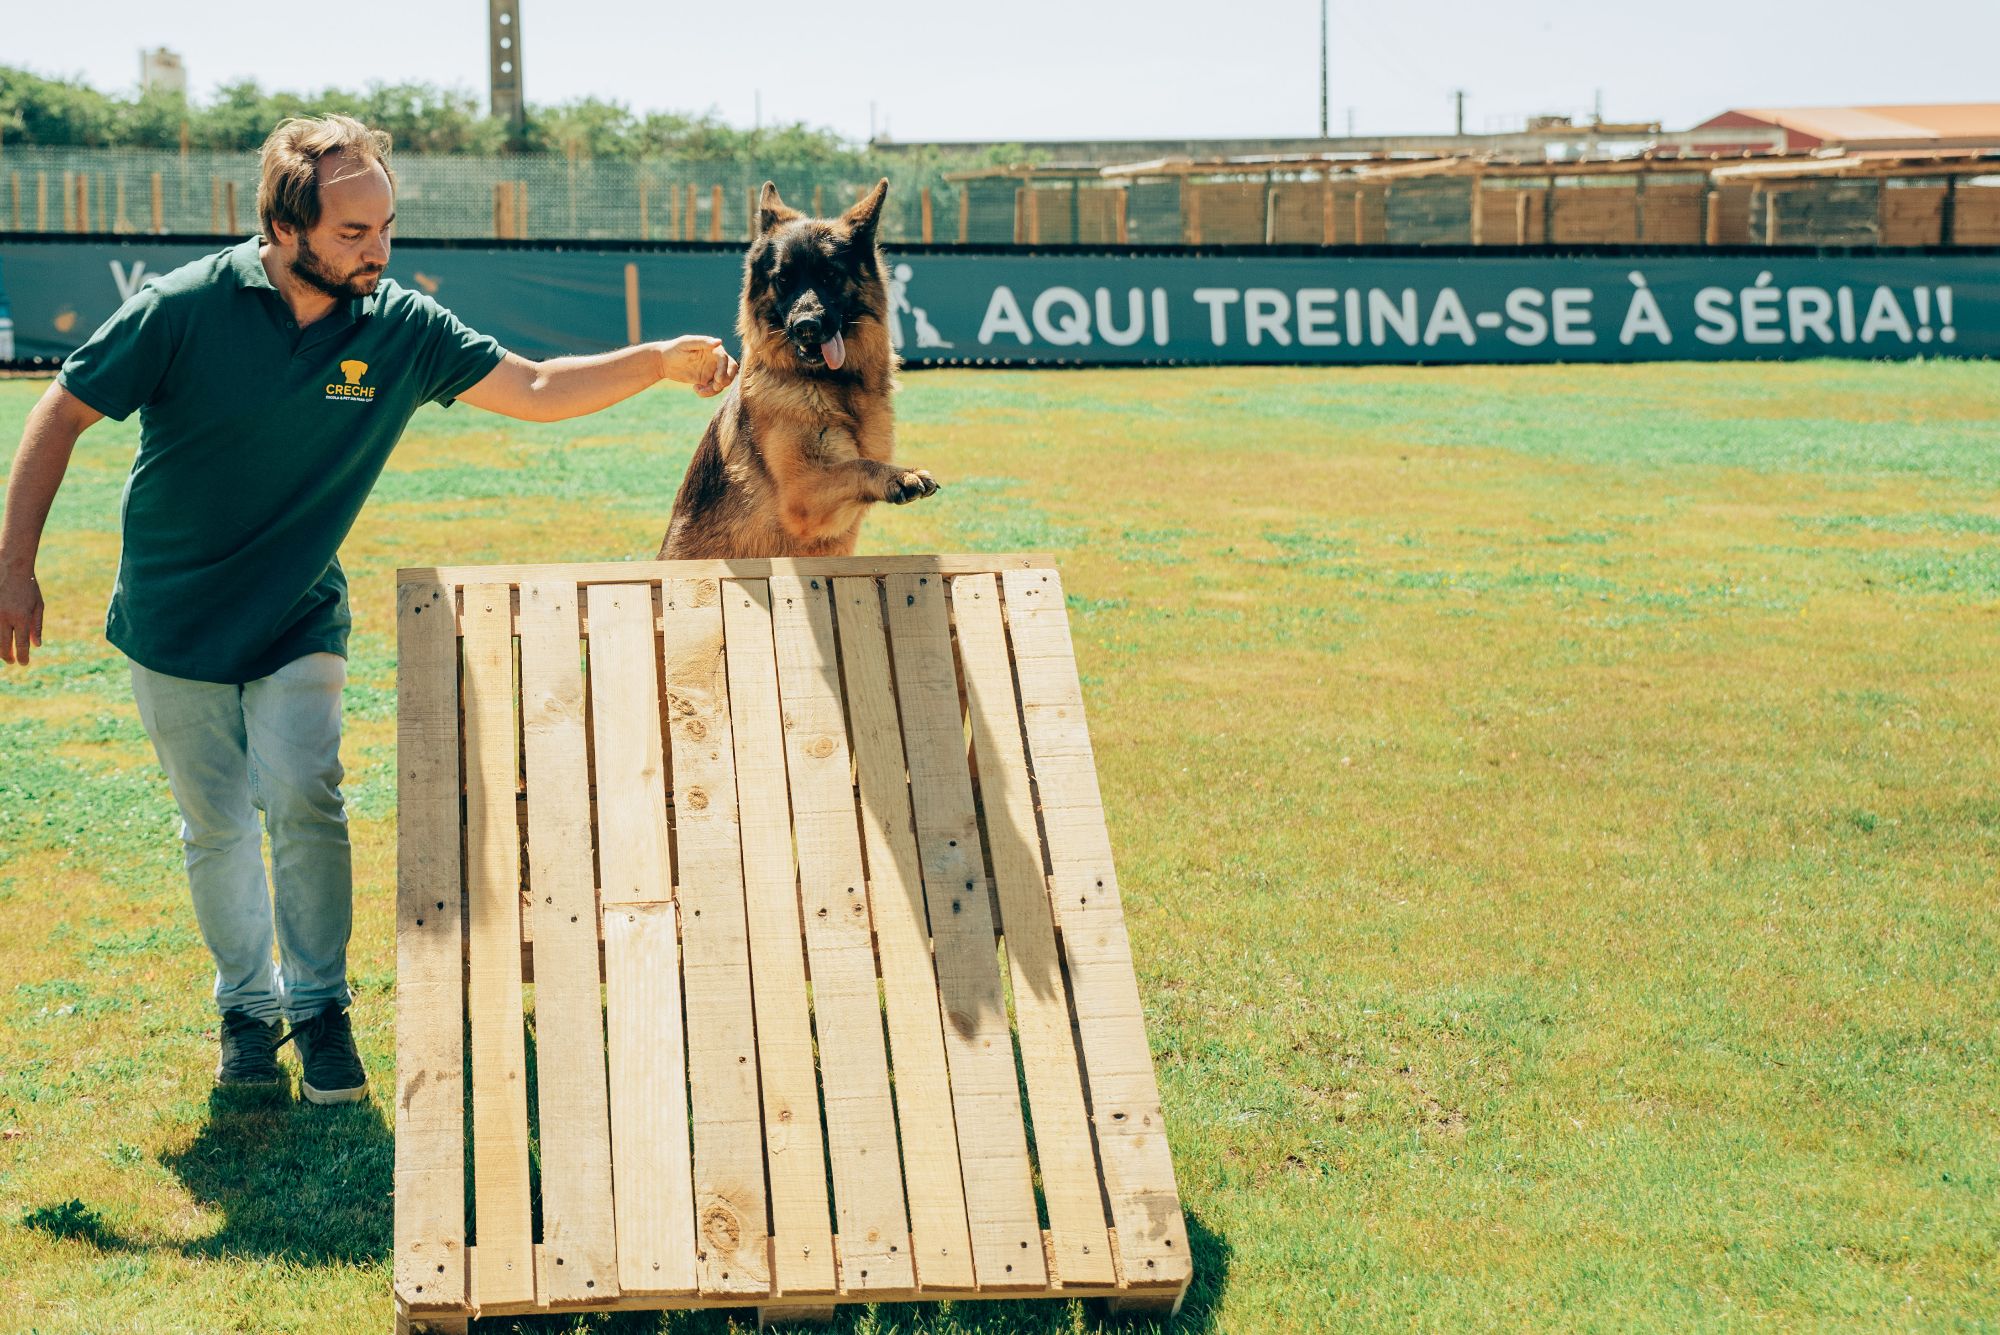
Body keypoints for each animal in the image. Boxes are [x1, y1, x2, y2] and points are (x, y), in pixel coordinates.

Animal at [656, 178, 936, 559]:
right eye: (784, 279)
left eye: (830, 276)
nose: (806, 327)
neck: (831, 386)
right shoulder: (802, 497)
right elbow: (856, 465)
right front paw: (899, 476)